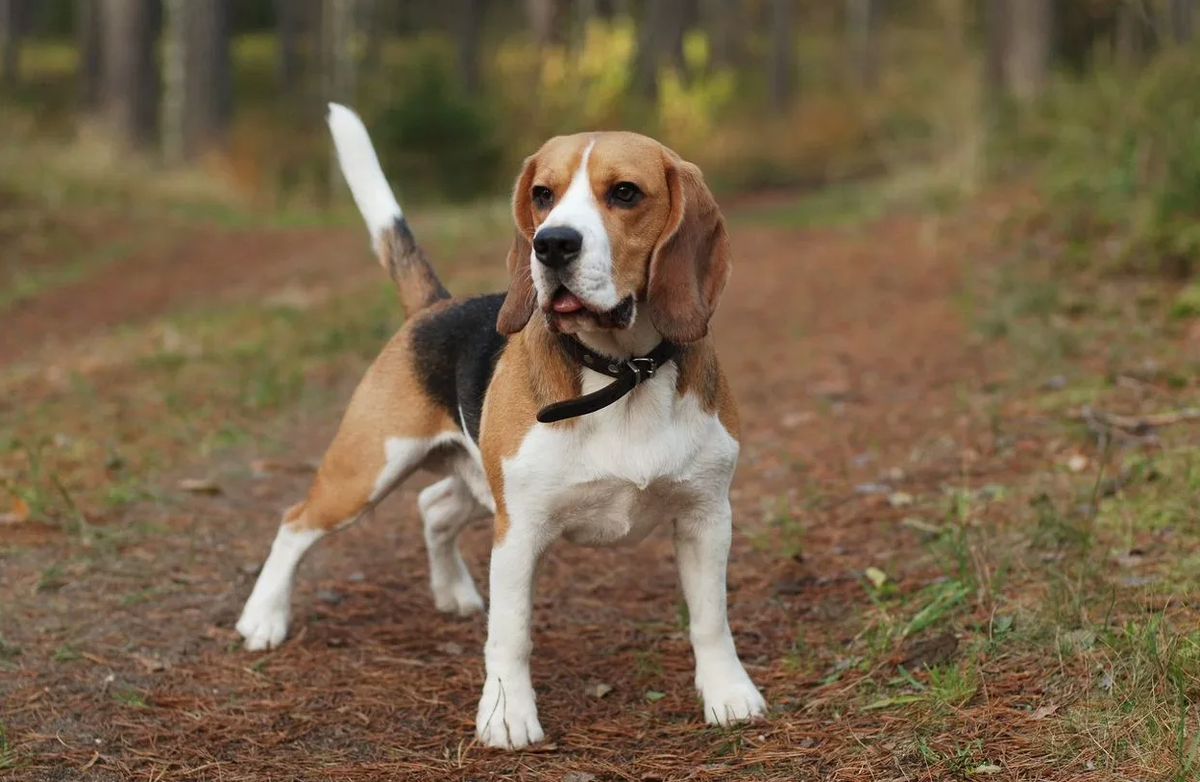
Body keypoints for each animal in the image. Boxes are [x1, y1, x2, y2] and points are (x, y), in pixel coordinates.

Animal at [236, 102, 768, 743]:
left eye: (625, 192)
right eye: (543, 194)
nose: (552, 244)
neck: (623, 373)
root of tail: (434, 305)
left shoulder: (706, 516)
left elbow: (711, 619)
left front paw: (728, 695)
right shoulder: (520, 530)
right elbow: (511, 634)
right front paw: (508, 715)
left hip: (475, 481)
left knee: (433, 507)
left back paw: (453, 593)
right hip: (367, 471)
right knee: (295, 522)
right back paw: (263, 618)